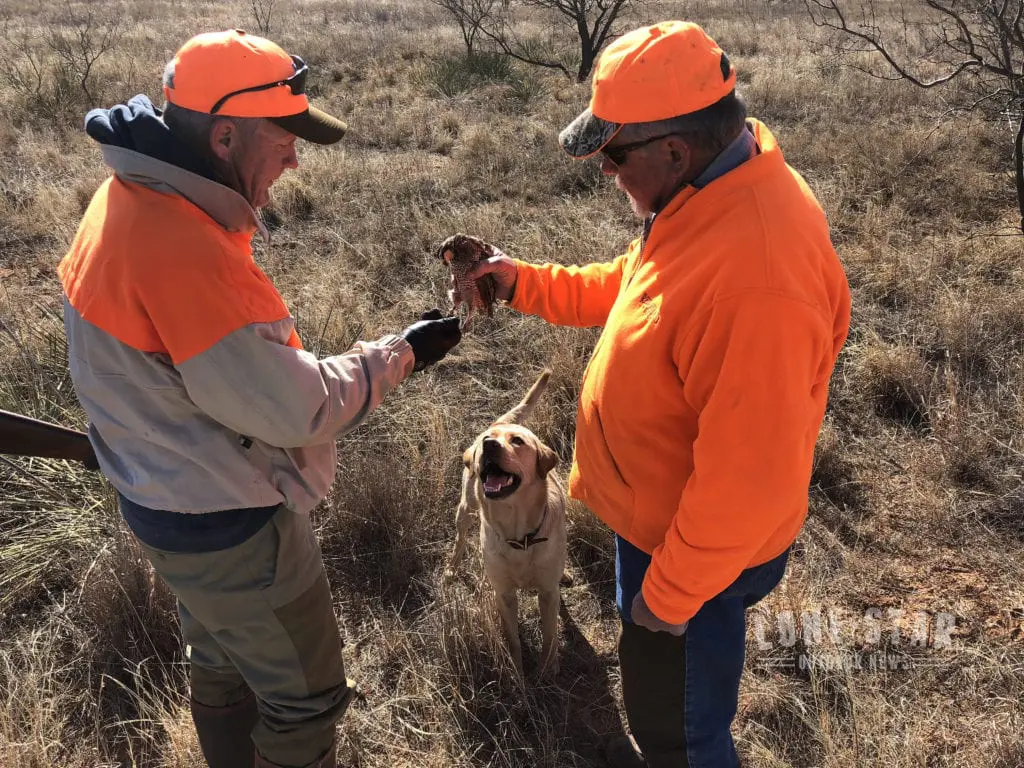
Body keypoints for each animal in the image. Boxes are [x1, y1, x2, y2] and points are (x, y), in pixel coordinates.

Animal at [448, 372, 569, 679]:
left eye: (518, 441)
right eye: (487, 443)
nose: (489, 444)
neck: (520, 536)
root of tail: (497, 422)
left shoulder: (548, 593)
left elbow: (550, 634)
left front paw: (548, 667)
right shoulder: (504, 594)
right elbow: (512, 637)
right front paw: (517, 669)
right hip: (465, 508)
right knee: (460, 538)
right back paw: (452, 567)